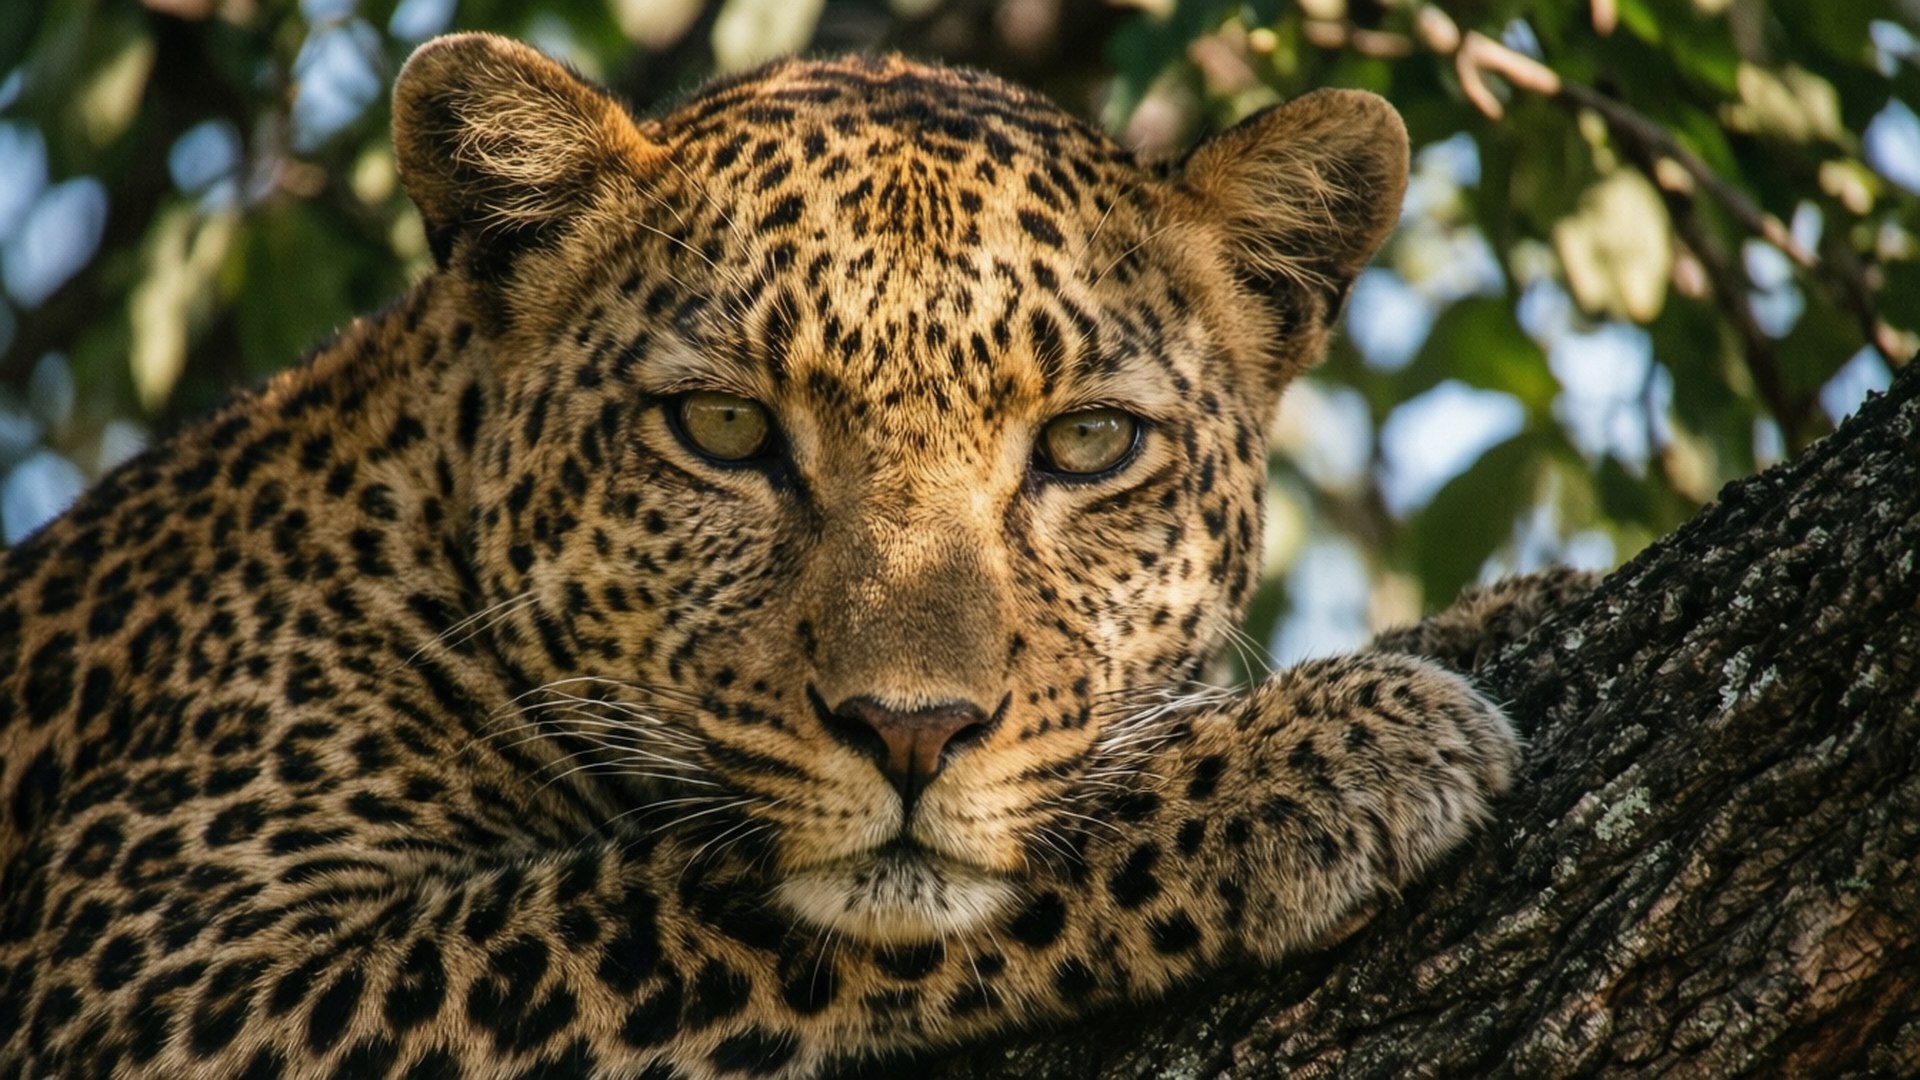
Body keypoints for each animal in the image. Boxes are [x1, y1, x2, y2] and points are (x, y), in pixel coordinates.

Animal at [0, 33, 1571, 1079]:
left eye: (1086, 446)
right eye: (724, 428)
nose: (911, 731)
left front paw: (1486, 620)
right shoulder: (174, 982)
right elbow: (656, 893)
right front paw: (1322, 754)